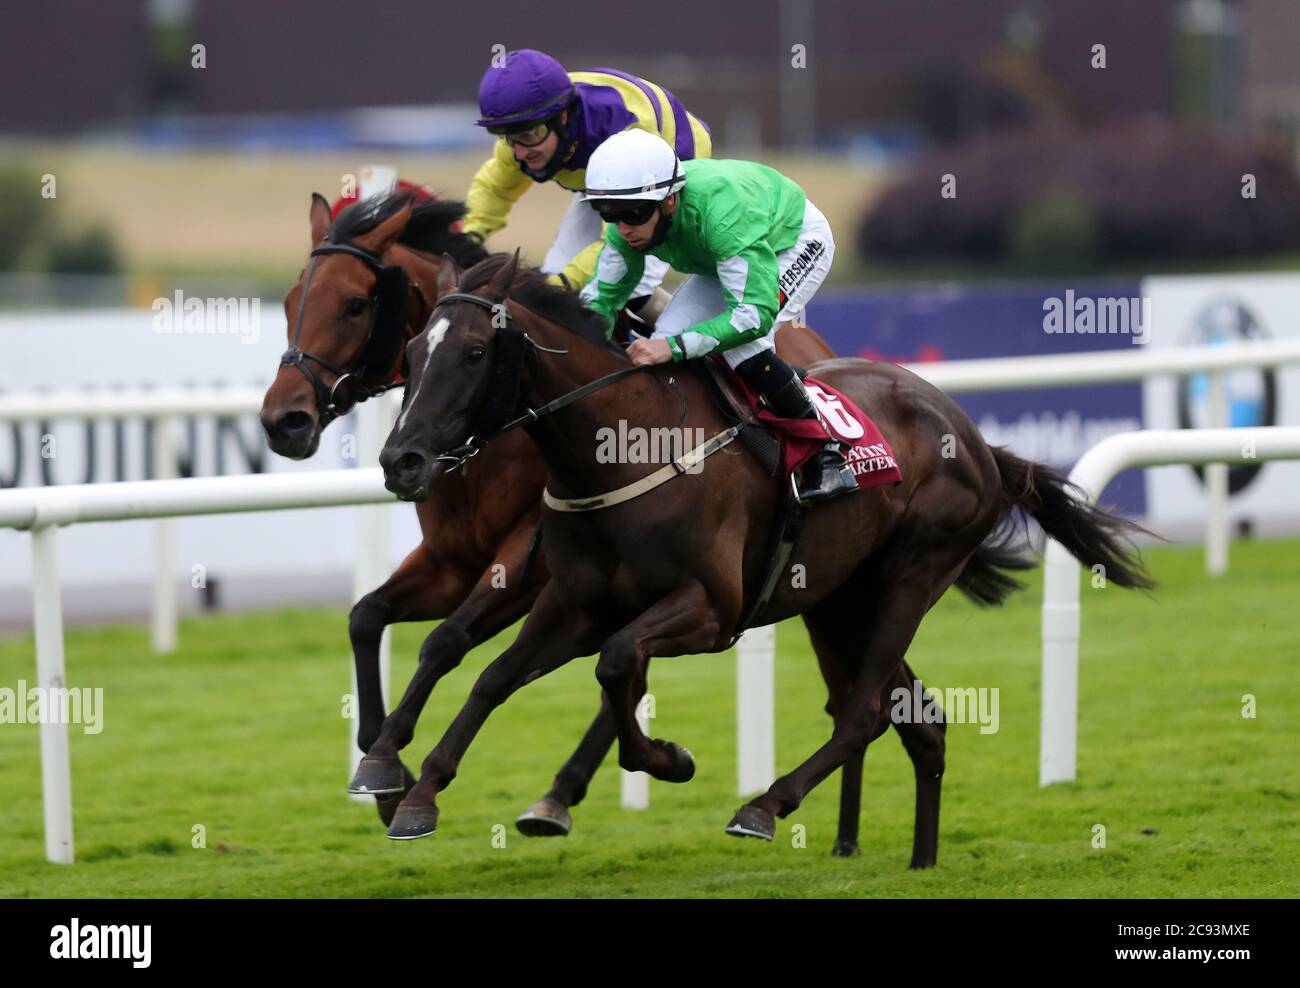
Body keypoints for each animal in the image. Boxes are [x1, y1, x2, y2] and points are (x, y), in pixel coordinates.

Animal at [263, 188, 899, 852]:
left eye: (355, 305)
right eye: (289, 302)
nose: (284, 420)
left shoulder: (528, 564)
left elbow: (449, 641)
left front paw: (396, 772)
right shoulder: (451, 560)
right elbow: (370, 618)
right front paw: (382, 762)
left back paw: (566, 792)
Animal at [379, 252, 1154, 863]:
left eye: (473, 354)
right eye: (411, 355)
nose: (399, 460)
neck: (622, 447)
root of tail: (972, 434)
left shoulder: (710, 609)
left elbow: (618, 663)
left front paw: (667, 759)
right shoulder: (572, 604)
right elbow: (493, 675)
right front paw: (415, 791)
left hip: (913, 575)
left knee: (863, 712)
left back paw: (764, 806)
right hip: (843, 597)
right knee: (917, 720)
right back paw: (919, 860)